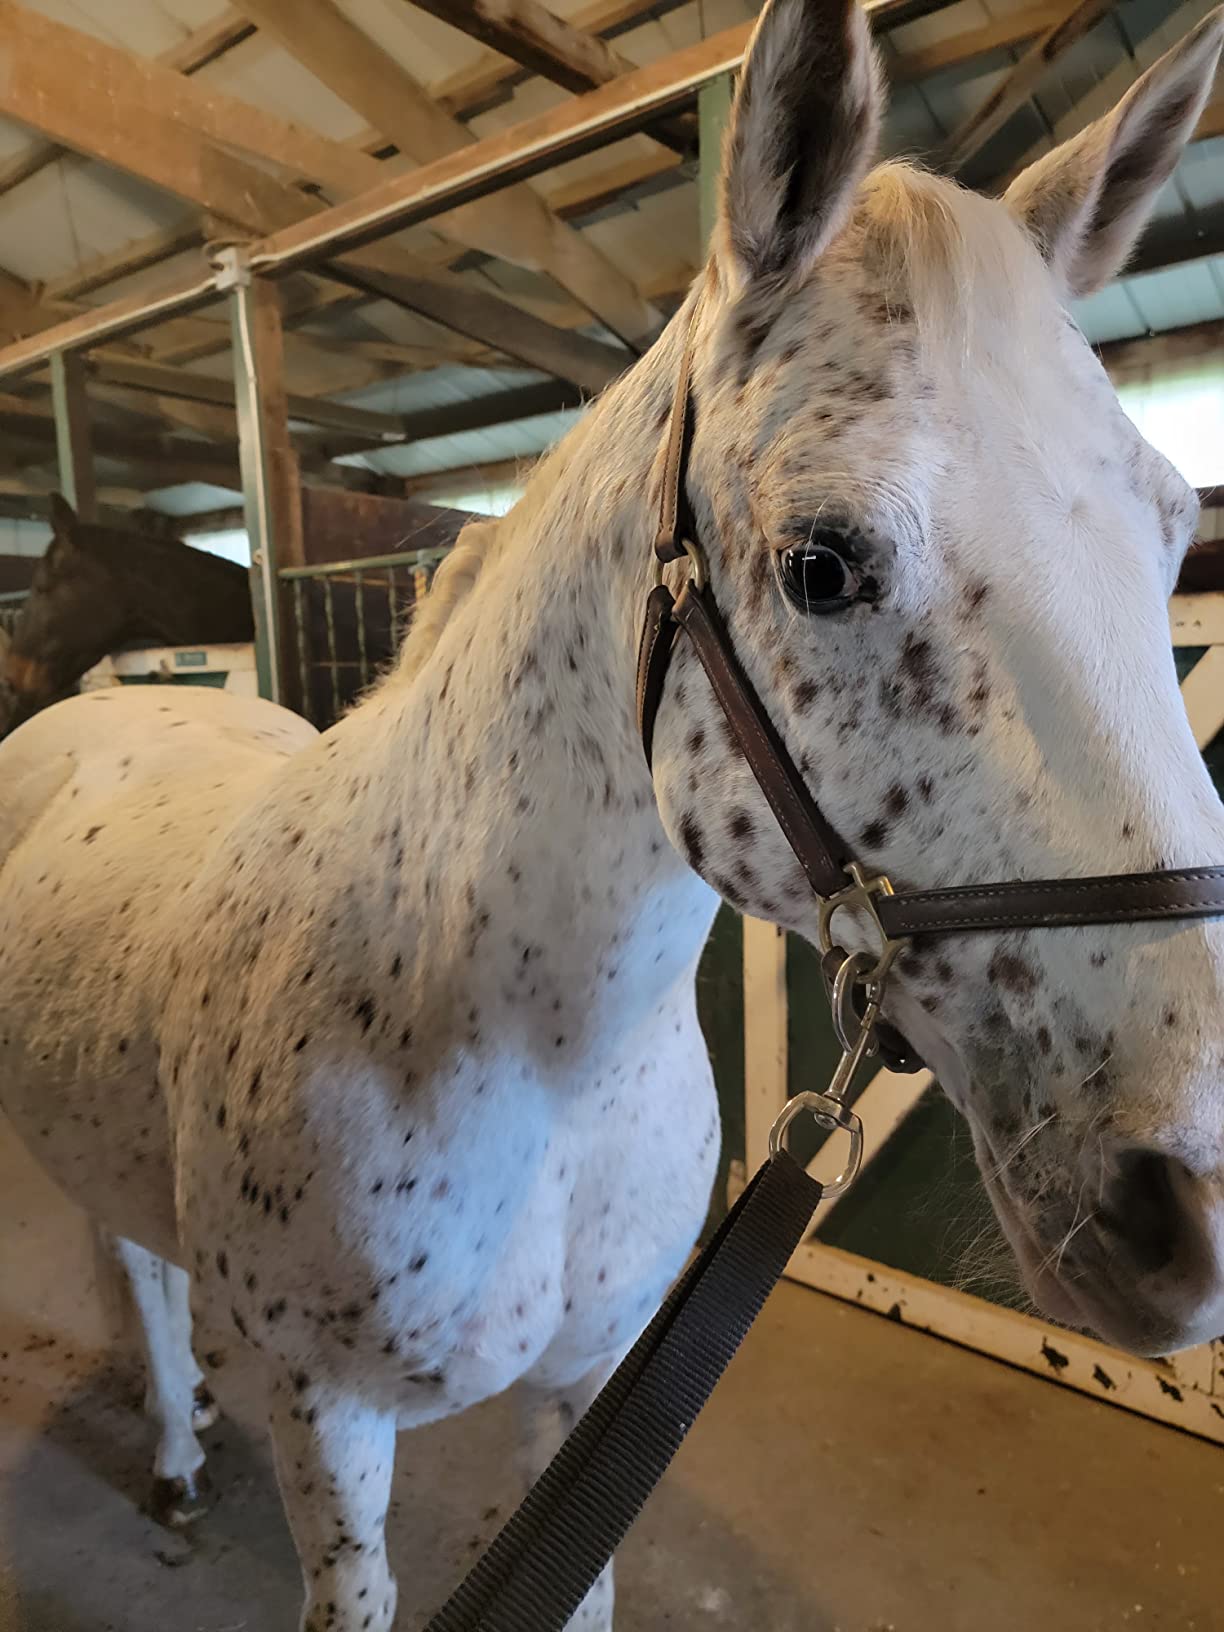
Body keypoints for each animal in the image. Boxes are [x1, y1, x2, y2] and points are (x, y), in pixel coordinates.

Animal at [2, 0, 1223, 1625]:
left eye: (1172, 528)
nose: (1195, 1208)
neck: (512, 1049)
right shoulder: (333, 1421)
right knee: (127, 1265)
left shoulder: (590, 1396)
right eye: (823, 562)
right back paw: (179, 1450)